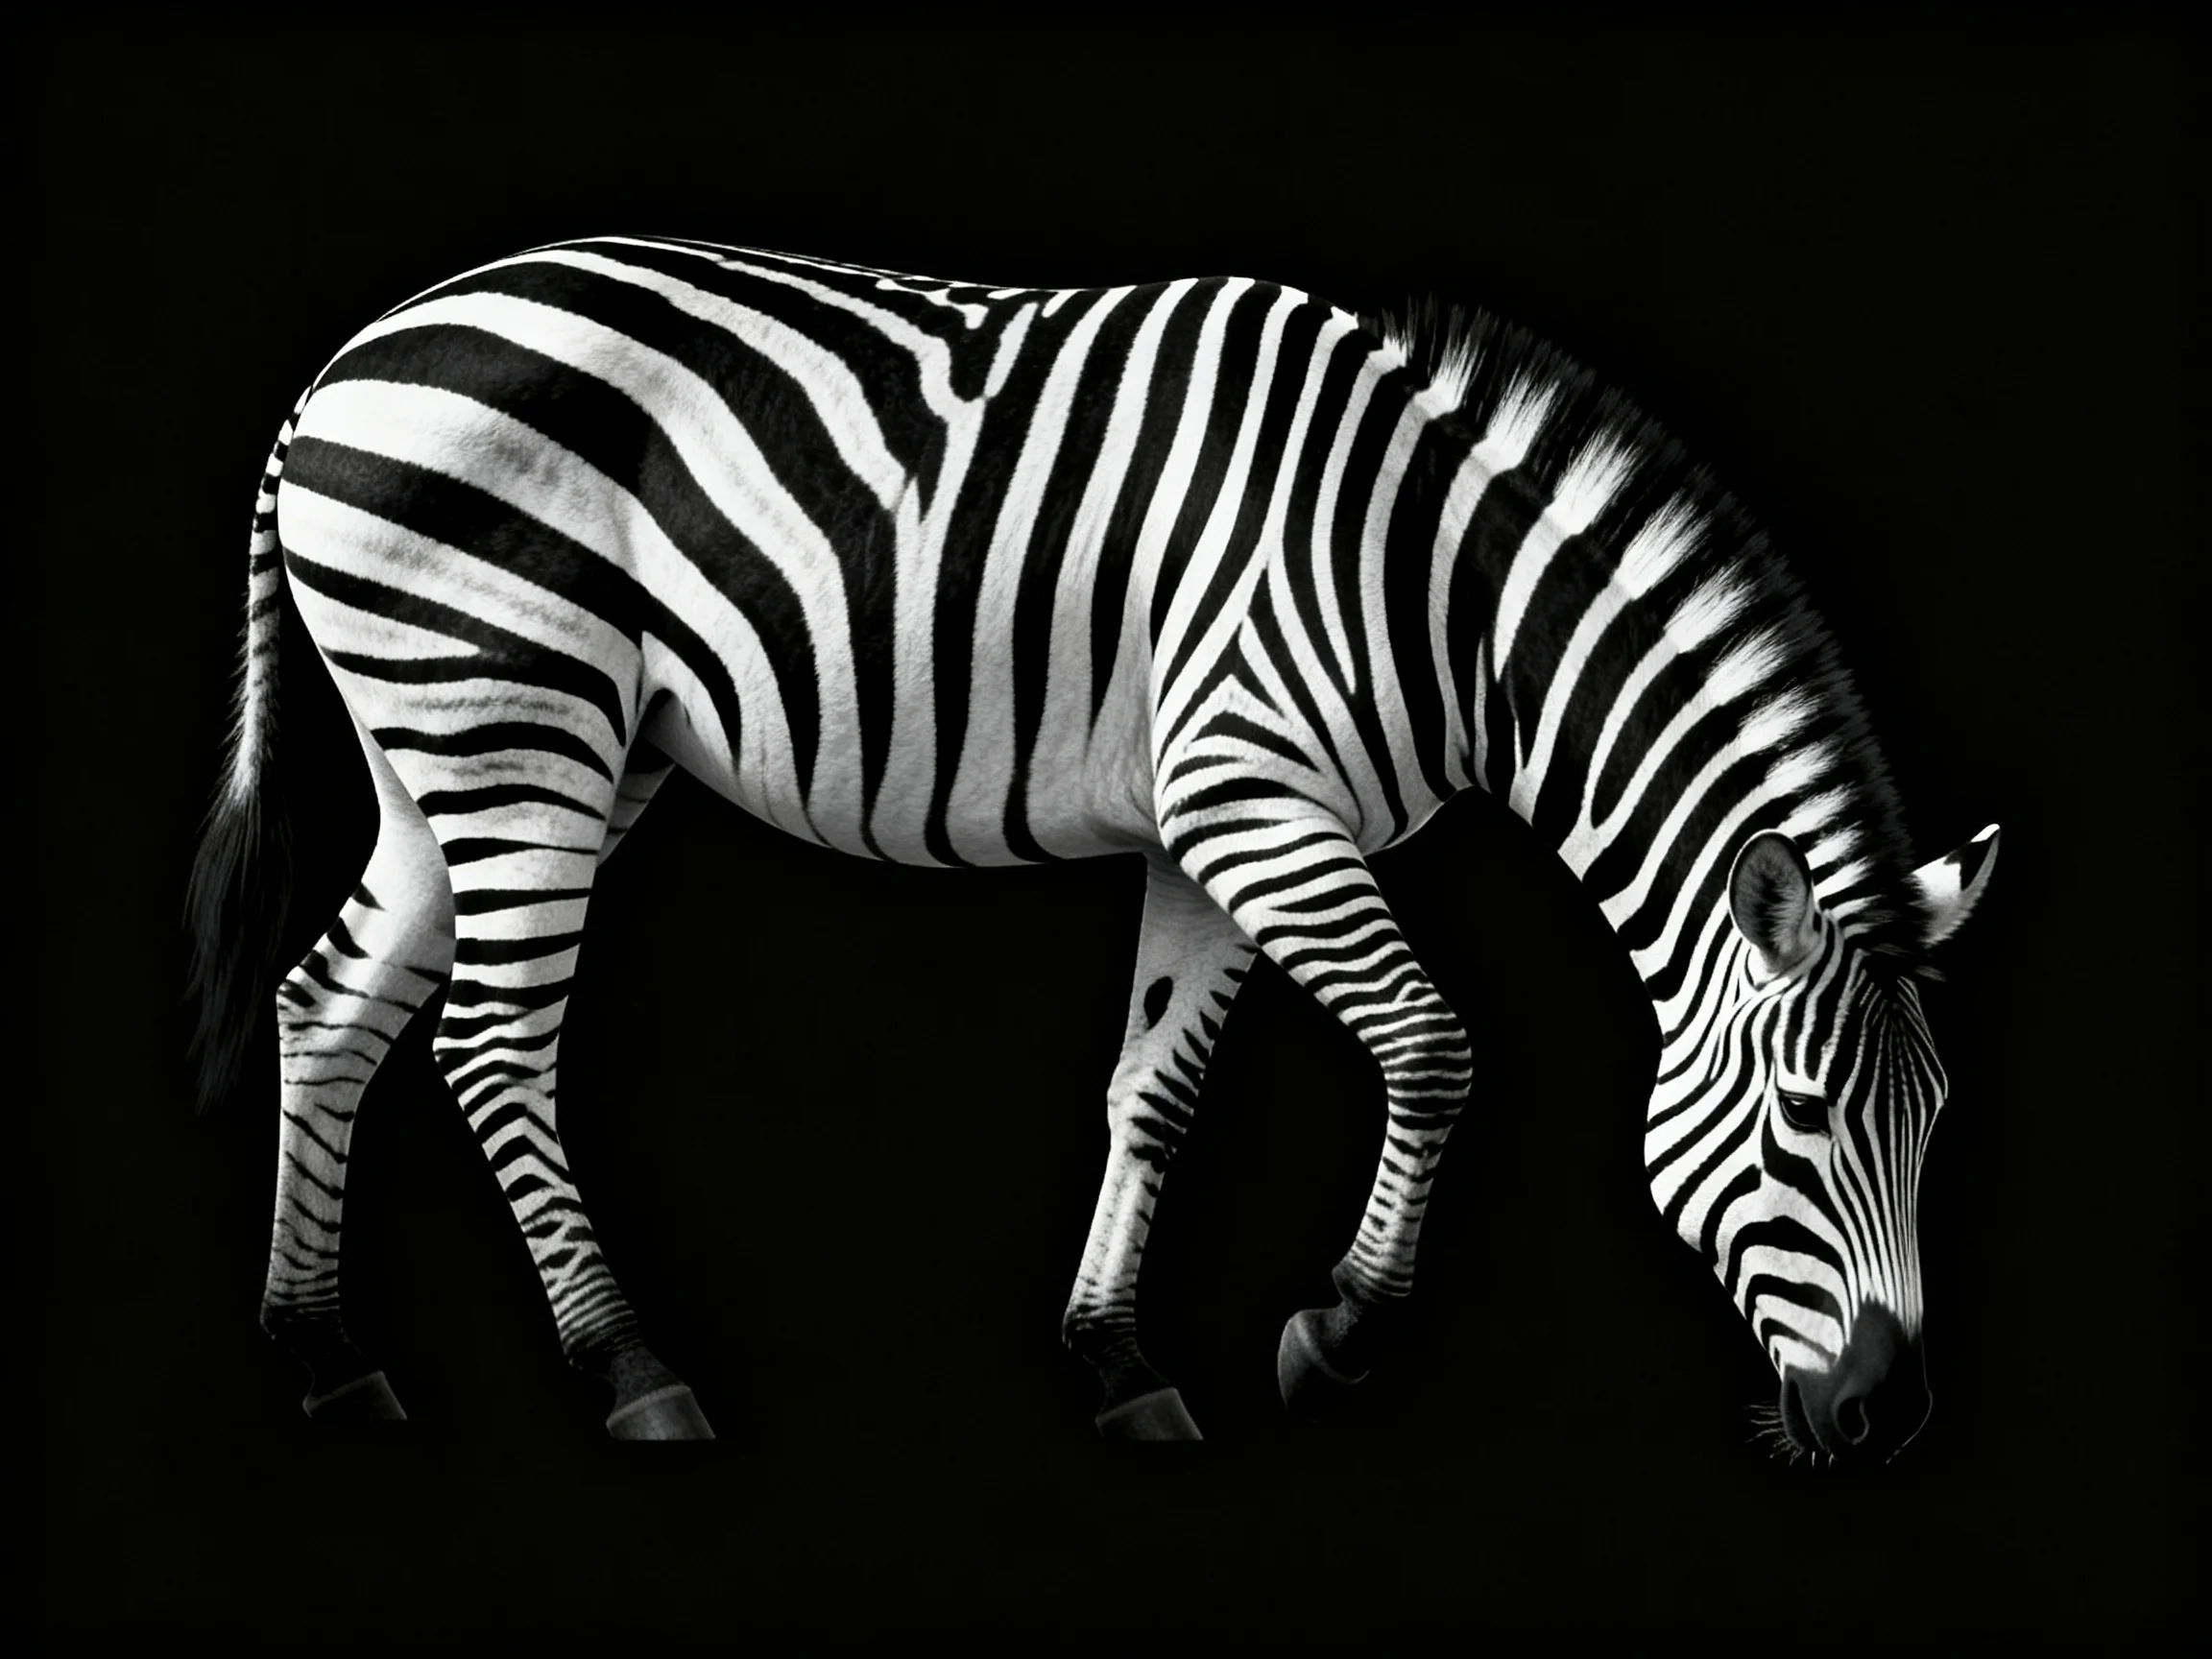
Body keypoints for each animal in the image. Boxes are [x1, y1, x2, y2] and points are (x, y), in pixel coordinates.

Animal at [187, 235, 1999, 1455]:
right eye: (1802, 1123)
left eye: (1933, 1128)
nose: (1890, 1419)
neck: (1436, 581)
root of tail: (338, 368)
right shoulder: (1256, 802)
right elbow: (1436, 1046)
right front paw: (1339, 1328)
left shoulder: (1206, 835)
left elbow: (1154, 1093)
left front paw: (1119, 1361)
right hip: (515, 715)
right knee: (492, 1045)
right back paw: (636, 1371)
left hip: (469, 744)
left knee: (326, 1002)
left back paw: (322, 1351)